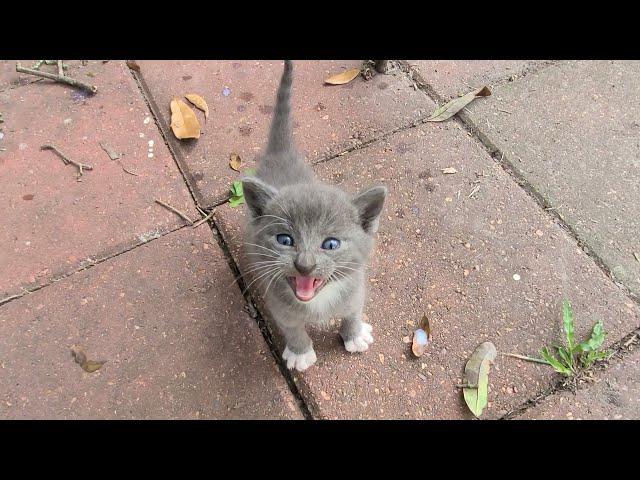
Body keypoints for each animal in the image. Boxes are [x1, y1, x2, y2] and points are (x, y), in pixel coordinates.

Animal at [242, 60, 388, 374]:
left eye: (331, 244)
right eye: (285, 239)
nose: (304, 265)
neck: (319, 301)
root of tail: (281, 155)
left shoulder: (356, 286)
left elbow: (353, 311)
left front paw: (355, 334)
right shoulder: (278, 302)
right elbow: (292, 327)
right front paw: (300, 352)